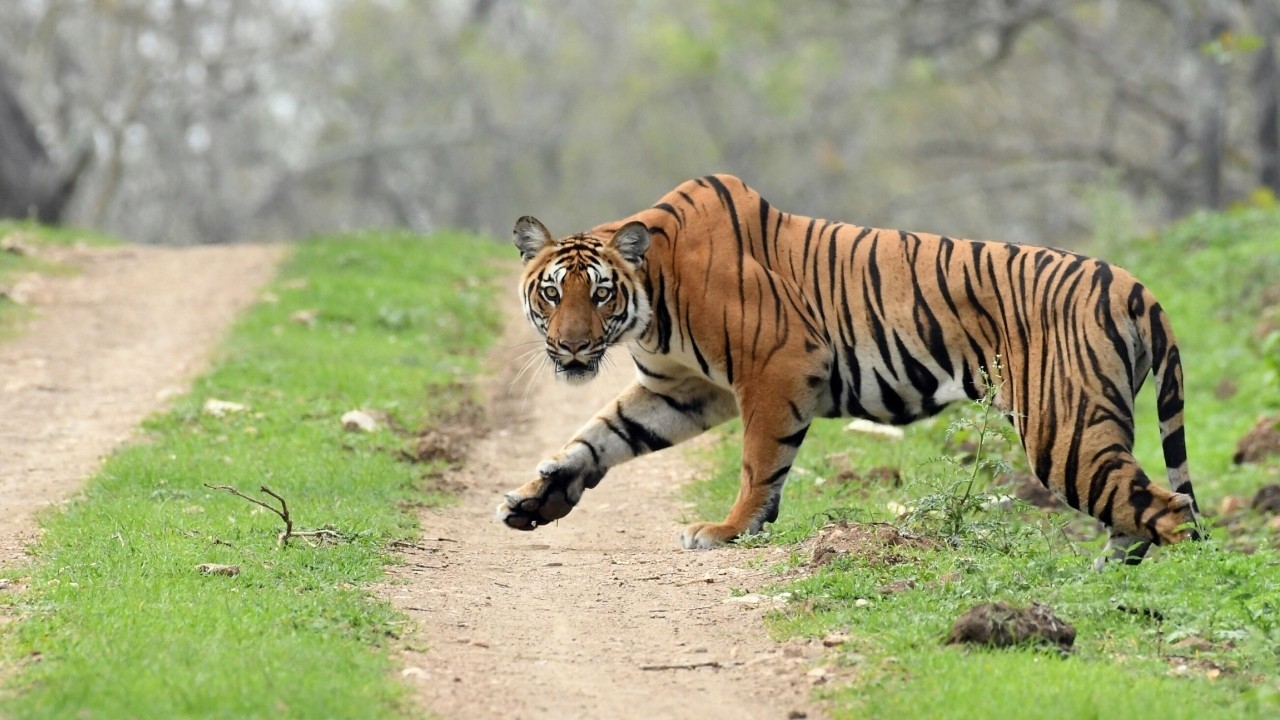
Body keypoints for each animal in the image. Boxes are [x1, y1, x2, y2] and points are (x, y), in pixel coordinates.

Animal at [496, 174, 1201, 566]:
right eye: (552, 294)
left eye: (600, 294)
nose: (572, 348)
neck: (650, 299)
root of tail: (1135, 285)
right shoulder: (681, 389)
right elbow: (598, 437)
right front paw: (535, 500)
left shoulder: (777, 363)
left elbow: (758, 461)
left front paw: (728, 530)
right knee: (1138, 515)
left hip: (1064, 427)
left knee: (1170, 511)